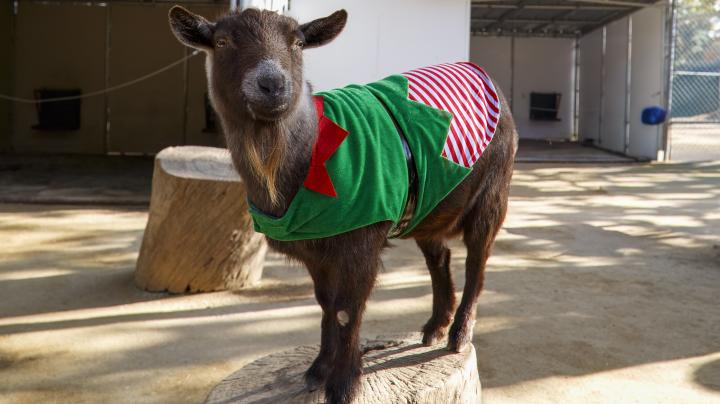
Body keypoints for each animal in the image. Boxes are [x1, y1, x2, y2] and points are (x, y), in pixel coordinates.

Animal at [169, 6, 518, 403]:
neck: (308, 153)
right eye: (223, 41)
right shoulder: (315, 251)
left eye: (298, 42)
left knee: (477, 263)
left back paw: (459, 334)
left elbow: (347, 310)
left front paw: (344, 383)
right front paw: (318, 369)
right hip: (429, 204)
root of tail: (481, 72)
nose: (272, 85)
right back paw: (434, 327)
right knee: (439, 257)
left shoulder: (362, 238)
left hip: (494, 190)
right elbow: (326, 304)